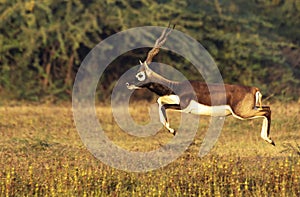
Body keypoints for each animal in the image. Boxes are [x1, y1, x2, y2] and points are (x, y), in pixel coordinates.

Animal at [125, 23, 276, 145]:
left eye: (140, 75)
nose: (128, 83)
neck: (176, 87)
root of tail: (253, 89)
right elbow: (160, 102)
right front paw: (171, 130)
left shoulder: (184, 106)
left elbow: (163, 105)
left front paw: (173, 130)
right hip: (251, 108)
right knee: (268, 108)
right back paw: (270, 140)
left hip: (242, 113)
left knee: (267, 111)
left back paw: (269, 139)